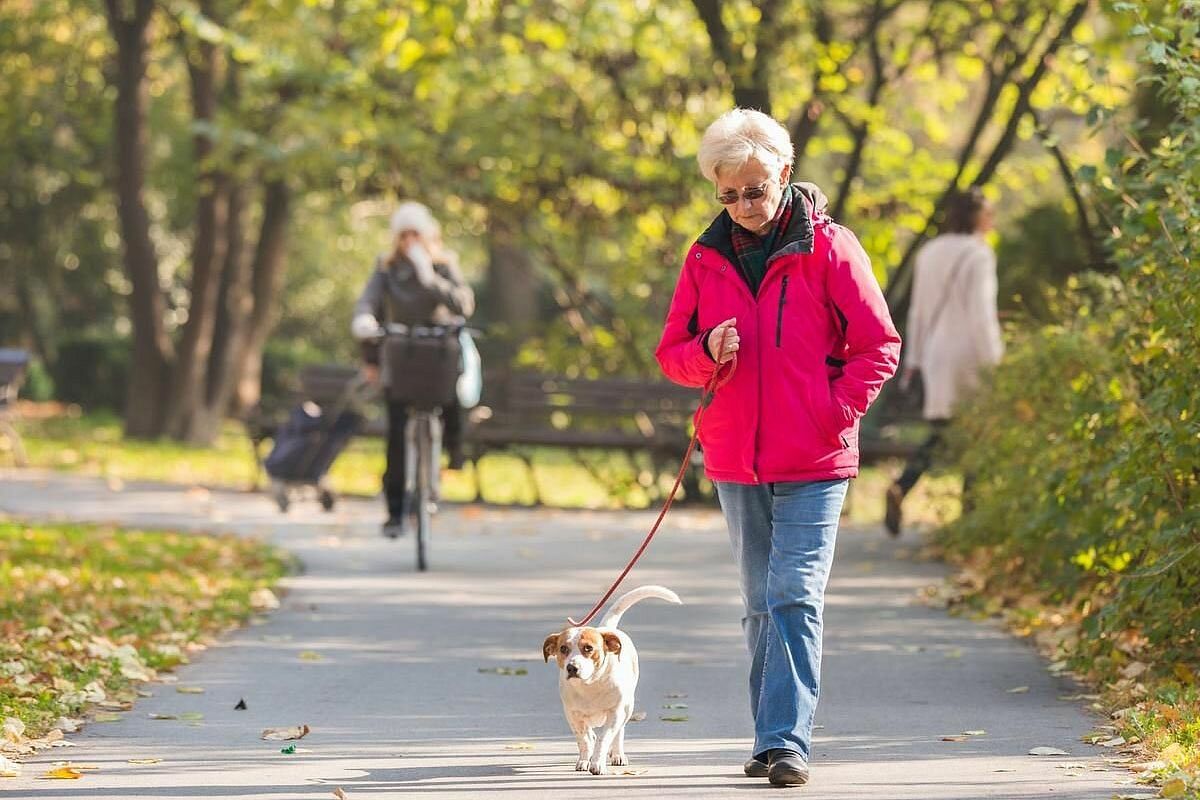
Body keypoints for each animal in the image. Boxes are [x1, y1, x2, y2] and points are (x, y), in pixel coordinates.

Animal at [542, 587, 681, 777]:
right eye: (563, 648)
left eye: (588, 648)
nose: (572, 667)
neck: (590, 686)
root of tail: (606, 628)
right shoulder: (572, 715)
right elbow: (584, 739)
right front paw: (585, 760)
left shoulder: (615, 713)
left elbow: (604, 738)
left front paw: (598, 763)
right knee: (590, 735)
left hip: (628, 707)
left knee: (619, 733)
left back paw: (617, 754)